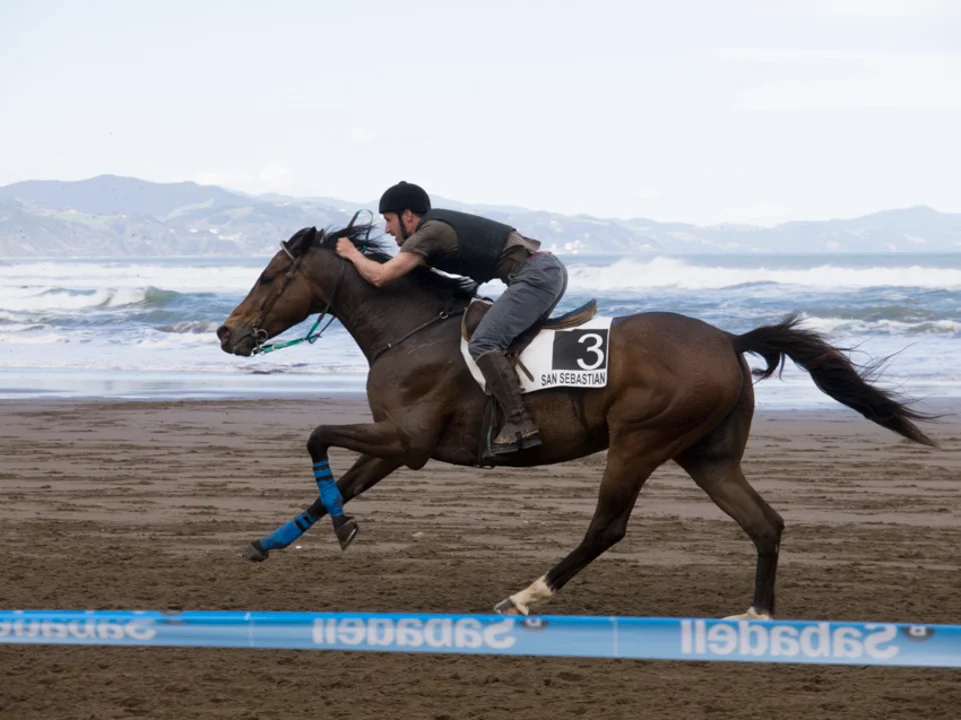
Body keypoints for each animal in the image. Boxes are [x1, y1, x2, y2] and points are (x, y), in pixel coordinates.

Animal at [217, 223, 936, 619]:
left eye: (270, 275)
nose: (227, 334)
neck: (410, 331)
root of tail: (729, 340)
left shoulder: (409, 441)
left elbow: (316, 438)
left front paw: (341, 527)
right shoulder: (394, 443)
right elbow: (338, 481)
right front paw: (274, 540)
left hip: (640, 443)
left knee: (607, 528)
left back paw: (526, 595)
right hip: (707, 454)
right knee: (764, 522)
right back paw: (758, 614)